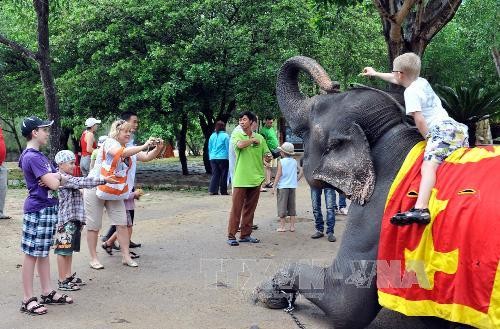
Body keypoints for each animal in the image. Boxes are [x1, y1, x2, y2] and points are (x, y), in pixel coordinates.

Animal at [252, 55, 474, 326]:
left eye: (306, 127)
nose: (333, 83)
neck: (389, 132)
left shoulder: (376, 215)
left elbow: (344, 302)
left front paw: (271, 288)